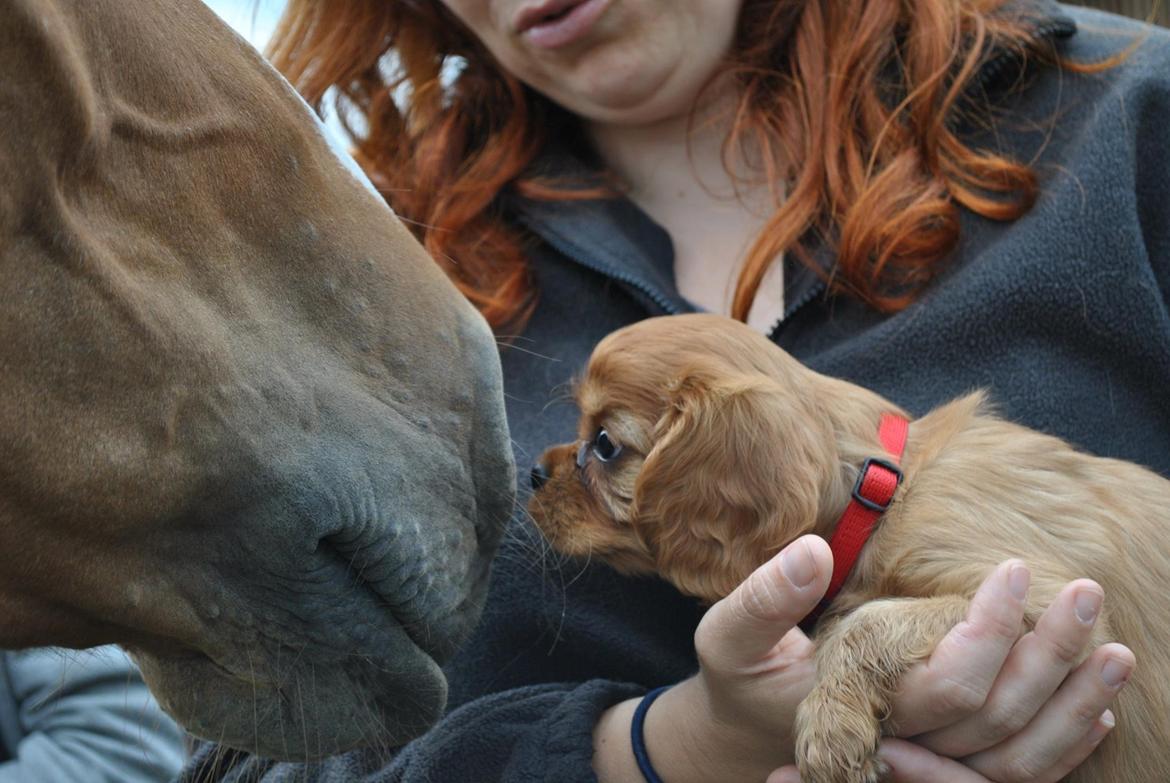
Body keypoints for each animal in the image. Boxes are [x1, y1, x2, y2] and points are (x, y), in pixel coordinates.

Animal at [528, 311, 1170, 781]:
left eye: (605, 445)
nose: (532, 473)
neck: (884, 494)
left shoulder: (1051, 599)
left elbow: (868, 621)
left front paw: (830, 728)